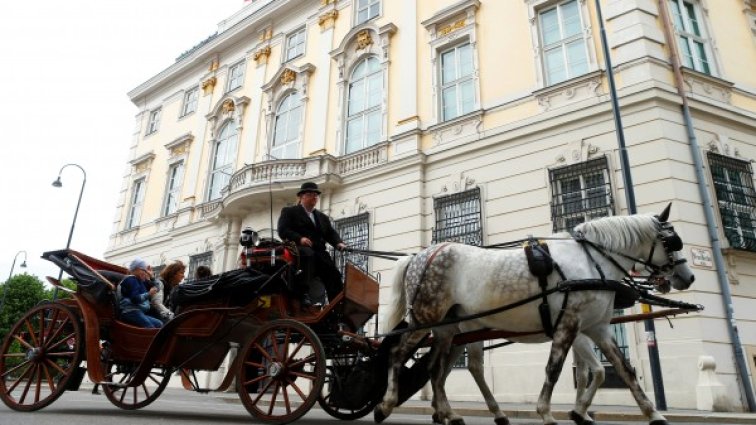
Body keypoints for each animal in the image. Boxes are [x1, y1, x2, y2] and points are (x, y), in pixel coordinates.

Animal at [376, 205, 692, 424]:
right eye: (672, 242)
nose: (688, 277)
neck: (592, 261)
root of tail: (418, 256)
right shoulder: (569, 324)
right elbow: (555, 369)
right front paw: (548, 412)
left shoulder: (597, 328)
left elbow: (619, 370)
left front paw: (653, 414)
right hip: (424, 320)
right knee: (397, 355)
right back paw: (386, 404)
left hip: (447, 330)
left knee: (436, 370)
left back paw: (449, 413)